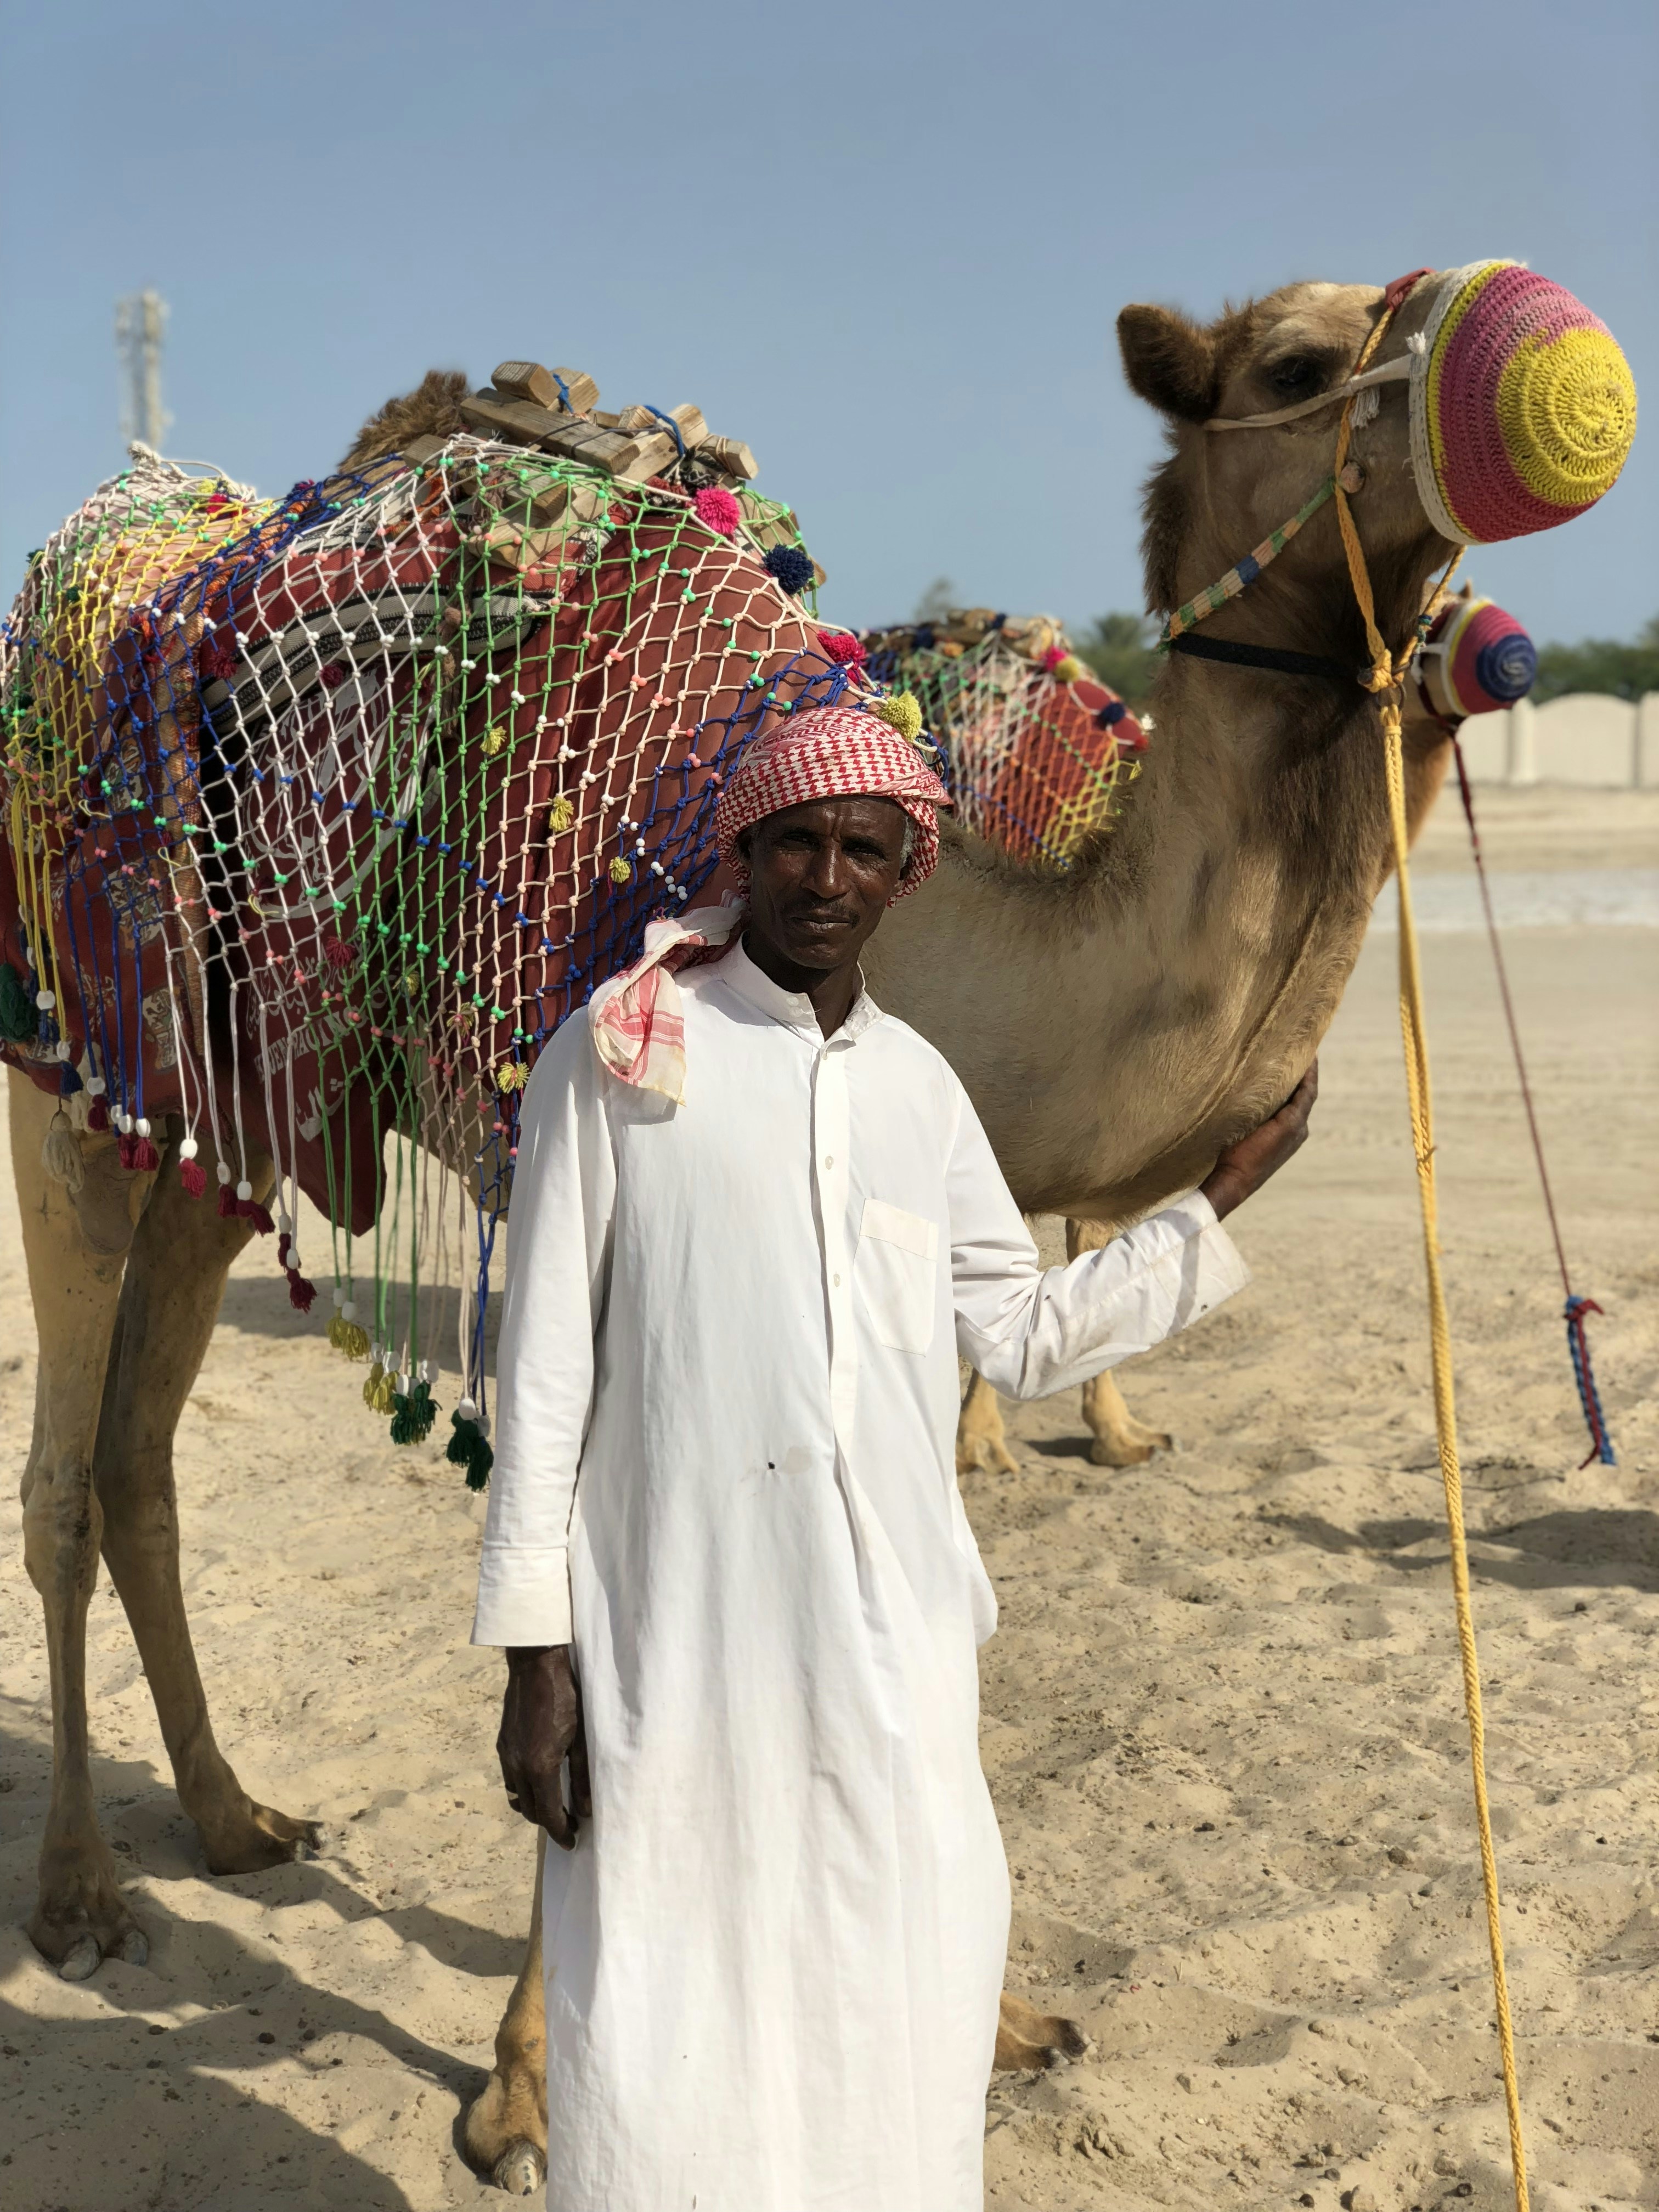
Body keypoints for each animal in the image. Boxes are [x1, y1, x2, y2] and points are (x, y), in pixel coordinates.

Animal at [7, 266, 1568, 2197]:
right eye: (1294, 361)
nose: (1510, 347)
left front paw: (997, 2024)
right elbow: (569, 1609)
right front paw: (524, 2100)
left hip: (222, 1108)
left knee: (142, 1444)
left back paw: (230, 1819)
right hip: (74, 1058)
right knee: (65, 1475)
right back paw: (81, 1895)